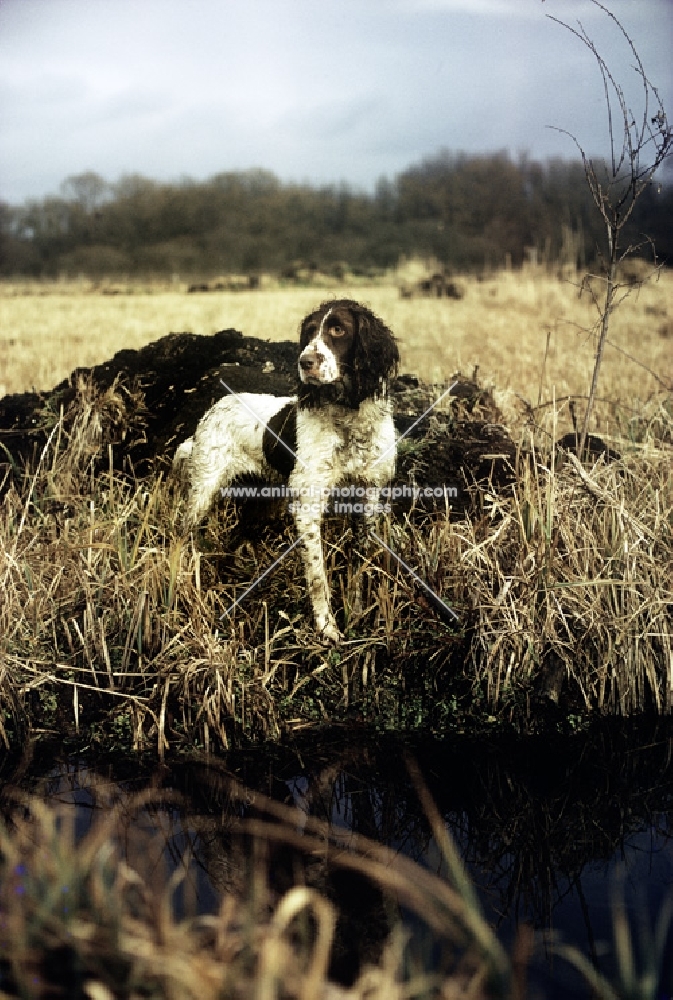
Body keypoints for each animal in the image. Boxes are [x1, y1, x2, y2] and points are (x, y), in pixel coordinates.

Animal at [173, 298, 400, 640]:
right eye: (309, 332)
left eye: (338, 329)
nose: (305, 362)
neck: (348, 417)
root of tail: (214, 408)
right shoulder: (308, 506)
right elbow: (318, 576)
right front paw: (327, 628)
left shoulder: (368, 497)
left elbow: (358, 562)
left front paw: (357, 612)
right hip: (202, 492)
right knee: (182, 538)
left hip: (260, 502)